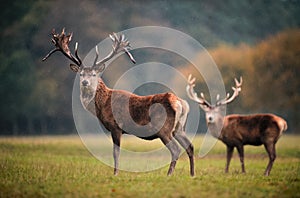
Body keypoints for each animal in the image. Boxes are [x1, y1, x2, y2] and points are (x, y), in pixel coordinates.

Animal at [42, 28, 195, 176]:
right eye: (81, 74)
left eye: (94, 74)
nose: (85, 82)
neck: (102, 104)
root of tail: (181, 103)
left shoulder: (115, 126)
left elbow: (116, 153)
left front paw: (115, 173)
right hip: (179, 128)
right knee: (190, 146)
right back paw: (192, 174)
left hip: (163, 128)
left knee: (175, 149)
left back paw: (169, 174)